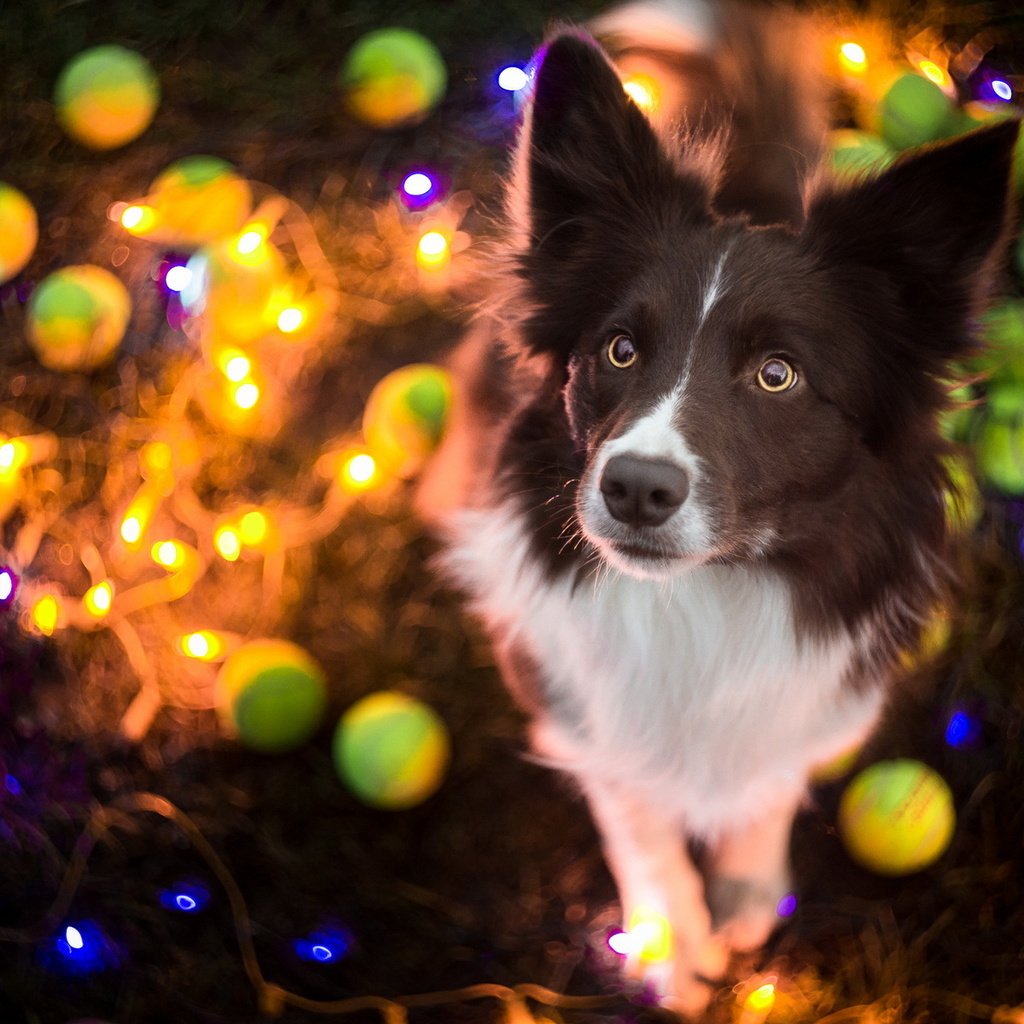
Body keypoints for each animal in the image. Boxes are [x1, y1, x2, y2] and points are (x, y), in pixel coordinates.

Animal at [415, 2, 1015, 1015]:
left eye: (778, 374)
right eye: (618, 349)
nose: (634, 488)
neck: (701, 600)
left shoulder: (816, 695)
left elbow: (767, 781)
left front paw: (746, 889)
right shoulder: (571, 699)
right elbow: (633, 807)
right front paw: (668, 939)